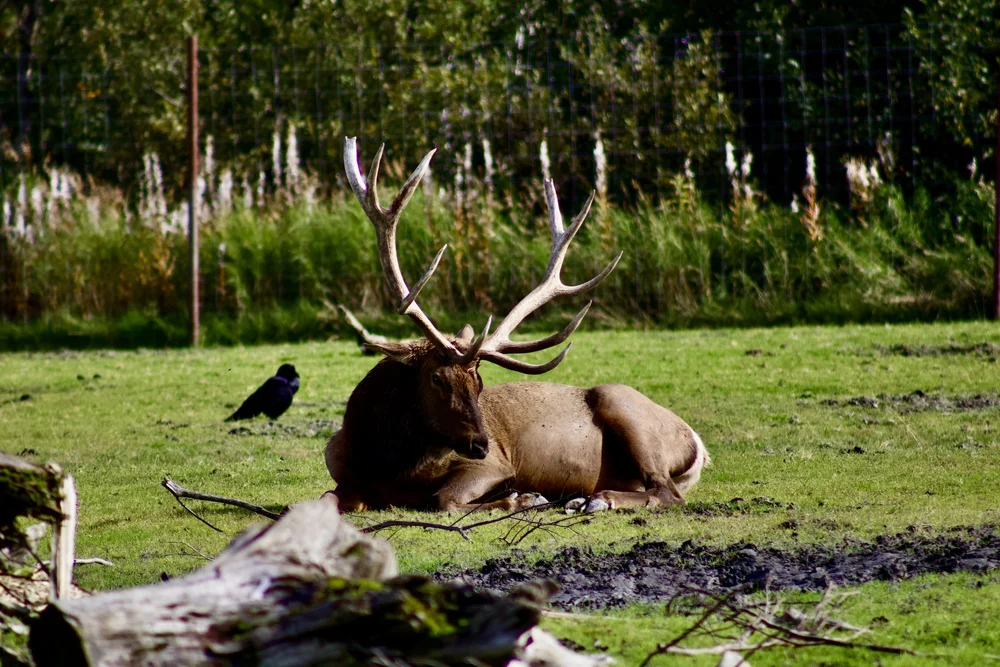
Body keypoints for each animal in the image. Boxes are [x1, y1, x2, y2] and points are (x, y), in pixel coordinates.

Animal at [324, 137, 709, 513]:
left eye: (479, 382)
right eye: (436, 378)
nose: (481, 443)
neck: (382, 464)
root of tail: (698, 443)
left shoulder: (493, 465)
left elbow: (443, 501)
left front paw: (521, 497)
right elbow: (326, 498)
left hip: (625, 409)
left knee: (668, 491)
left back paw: (597, 499)